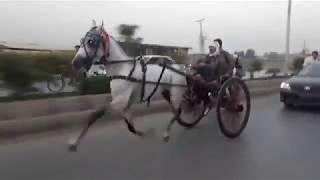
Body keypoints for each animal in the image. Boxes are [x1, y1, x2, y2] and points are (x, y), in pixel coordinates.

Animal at [68, 20, 188, 151]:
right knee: (177, 111)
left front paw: (74, 142)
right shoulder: (125, 104)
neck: (121, 69)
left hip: (175, 93)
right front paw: (144, 133)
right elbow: (130, 126)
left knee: (177, 111)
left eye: (91, 42)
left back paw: (167, 133)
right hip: (166, 93)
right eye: (81, 41)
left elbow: (95, 114)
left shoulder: (120, 101)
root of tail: (180, 68)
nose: (75, 63)